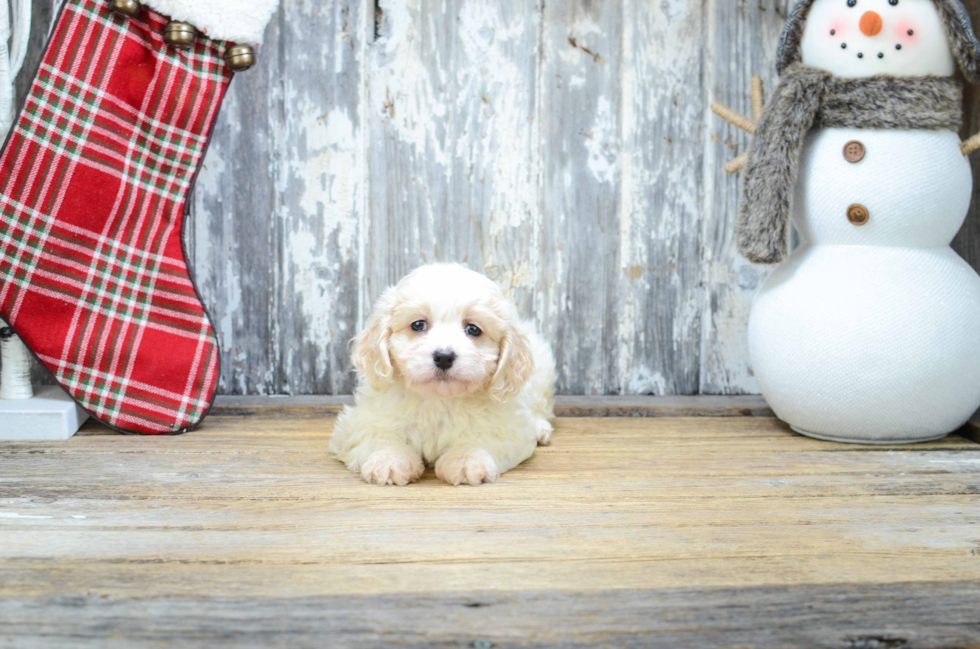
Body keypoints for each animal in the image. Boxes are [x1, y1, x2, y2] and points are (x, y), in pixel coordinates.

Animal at [330, 264, 556, 486]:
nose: (444, 357)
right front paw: (389, 459)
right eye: (418, 324)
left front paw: (466, 459)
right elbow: (380, 434)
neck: (438, 399)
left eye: (473, 329)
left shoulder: (508, 427)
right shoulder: (362, 421)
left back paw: (540, 427)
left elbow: (484, 437)